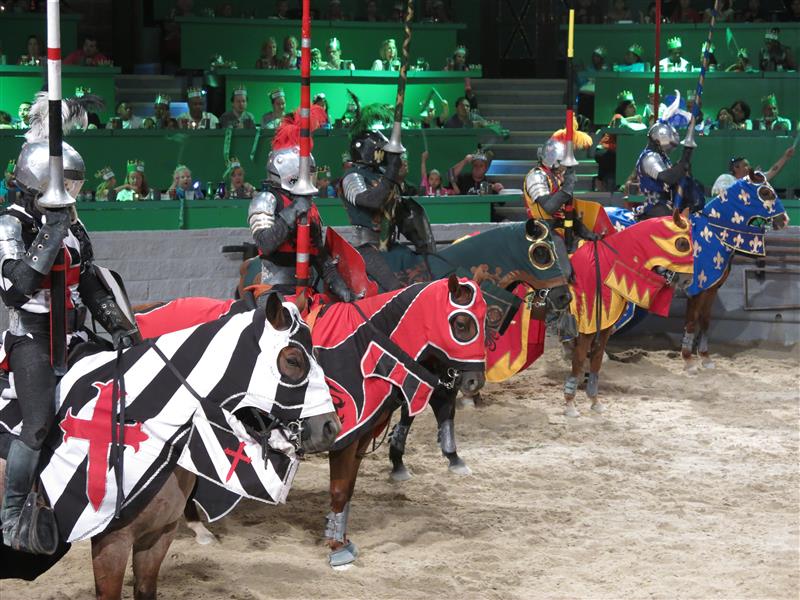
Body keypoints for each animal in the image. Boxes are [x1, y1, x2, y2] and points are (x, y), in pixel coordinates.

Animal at [563, 214, 695, 417]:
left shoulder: (604, 327)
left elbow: (596, 360)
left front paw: (594, 400)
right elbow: (578, 360)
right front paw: (570, 403)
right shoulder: (587, 327)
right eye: (682, 243)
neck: (607, 266)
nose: (688, 281)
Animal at [606, 171, 789, 372]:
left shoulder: (711, 289)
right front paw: (688, 359)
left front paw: (705, 358)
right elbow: (692, 322)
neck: (714, 232)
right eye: (765, 192)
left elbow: (705, 322)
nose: (784, 220)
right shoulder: (697, 288)